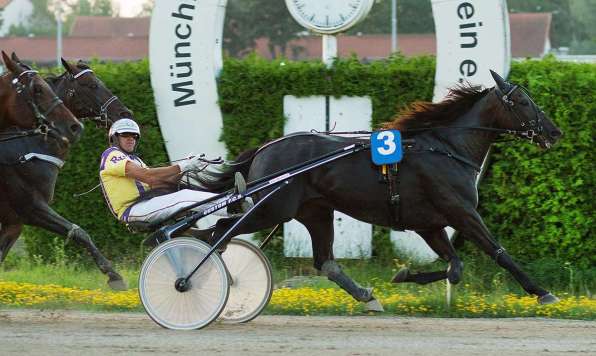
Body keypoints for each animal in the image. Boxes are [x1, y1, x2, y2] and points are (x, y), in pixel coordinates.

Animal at [0, 53, 133, 292]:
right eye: (92, 84)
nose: (124, 113)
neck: (25, 149)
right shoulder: (31, 207)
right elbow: (79, 232)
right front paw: (114, 276)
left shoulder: (13, 222)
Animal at [200, 71, 564, 308]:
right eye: (523, 101)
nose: (554, 132)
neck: (446, 148)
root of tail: (265, 148)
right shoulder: (461, 212)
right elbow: (497, 252)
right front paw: (542, 291)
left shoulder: (430, 224)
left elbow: (454, 267)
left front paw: (403, 276)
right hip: (270, 209)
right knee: (219, 231)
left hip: (316, 212)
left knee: (326, 262)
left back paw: (365, 295)